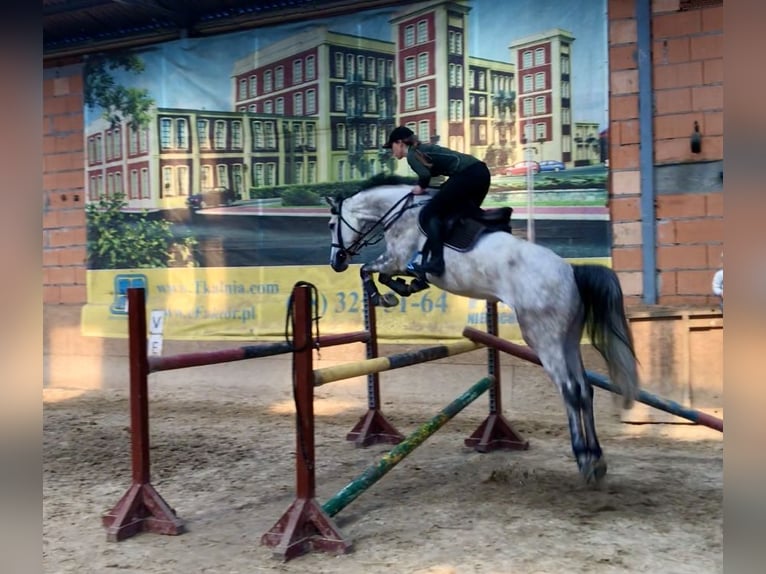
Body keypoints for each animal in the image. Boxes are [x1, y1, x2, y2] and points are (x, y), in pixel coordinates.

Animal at [325, 174, 639, 484]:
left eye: (330, 225)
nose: (335, 262)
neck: (398, 211)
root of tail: (571, 272)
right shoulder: (396, 261)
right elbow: (379, 273)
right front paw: (404, 287)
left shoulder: (397, 259)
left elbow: (368, 270)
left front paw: (387, 295)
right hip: (569, 339)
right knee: (584, 389)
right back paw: (597, 459)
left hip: (544, 339)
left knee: (571, 389)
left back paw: (584, 459)